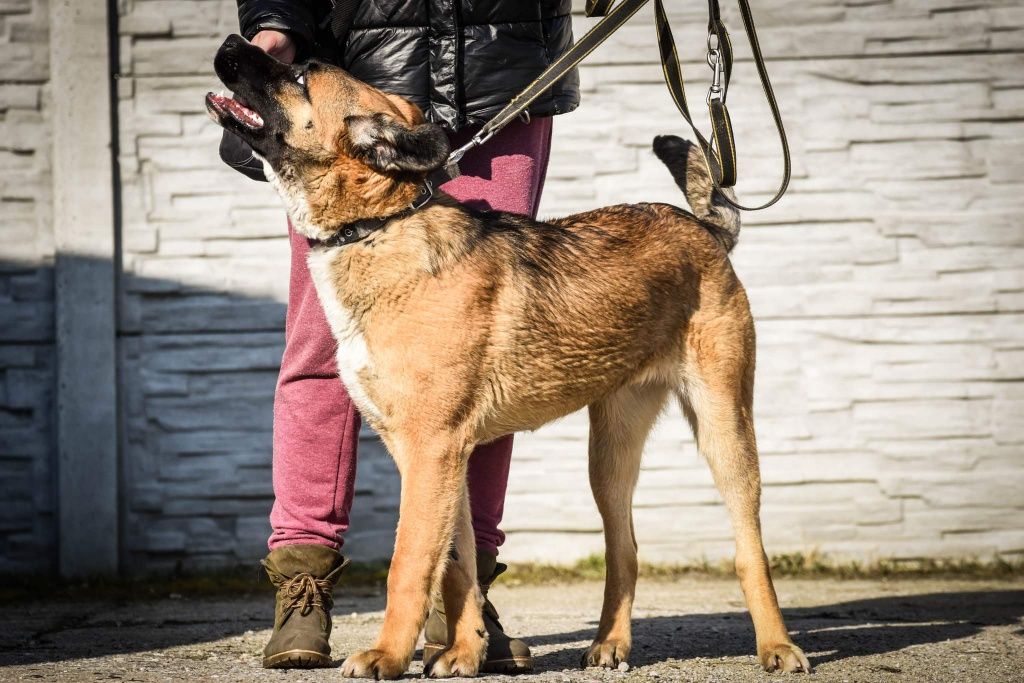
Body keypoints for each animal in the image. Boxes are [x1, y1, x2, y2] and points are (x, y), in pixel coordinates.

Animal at [207, 34, 811, 679]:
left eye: (300, 75)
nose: (232, 42)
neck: (380, 225)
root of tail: (702, 229)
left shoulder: (431, 451)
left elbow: (408, 566)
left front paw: (388, 654)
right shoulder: (440, 459)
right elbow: (457, 566)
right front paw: (466, 650)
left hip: (725, 431)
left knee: (750, 548)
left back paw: (776, 645)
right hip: (610, 454)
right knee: (623, 547)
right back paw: (610, 643)